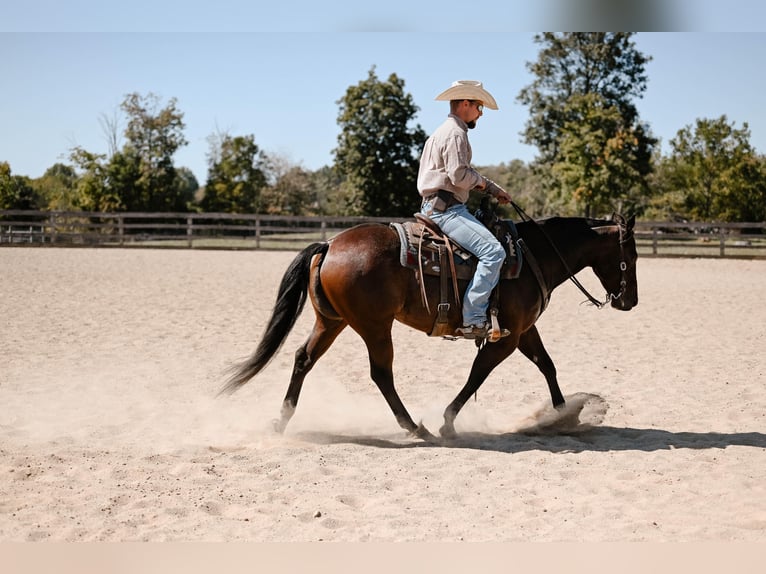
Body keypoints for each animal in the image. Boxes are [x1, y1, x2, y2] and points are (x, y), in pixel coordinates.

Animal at [219, 209, 640, 444]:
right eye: (632, 256)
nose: (630, 302)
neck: (532, 254)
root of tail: (330, 244)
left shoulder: (523, 331)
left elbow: (547, 365)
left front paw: (565, 415)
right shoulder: (506, 338)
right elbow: (478, 374)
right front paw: (449, 422)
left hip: (332, 322)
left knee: (303, 359)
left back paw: (281, 420)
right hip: (374, 326)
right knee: (381, 374)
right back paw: (414, 428)